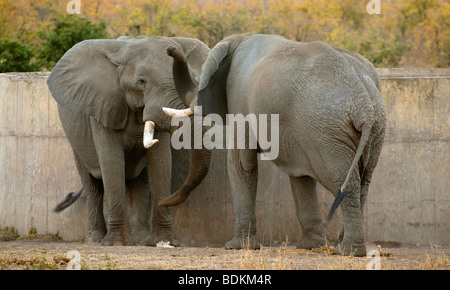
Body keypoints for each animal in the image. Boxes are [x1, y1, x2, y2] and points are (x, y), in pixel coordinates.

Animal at [46, 35, 212, 246]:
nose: (171, 48)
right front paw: (116, 243)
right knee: (93, 185)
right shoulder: (104, 106)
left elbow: (160, 160)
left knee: (140, 184)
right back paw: (95, 239)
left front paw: (165, 241)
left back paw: (141, 239)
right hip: (76, 141)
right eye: (141, 82)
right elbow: (111, 161)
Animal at [158, 33, 386, 256]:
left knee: (344, 181)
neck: (238, 39)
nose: (170, 48)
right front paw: (308, 246)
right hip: (373, 130)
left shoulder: (240, 100)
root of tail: (364, 106)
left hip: (329, 131)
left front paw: (236, 246)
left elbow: (242, 163)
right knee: (363, 182)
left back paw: (349, 251)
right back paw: (342, 246)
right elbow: (300, 177)